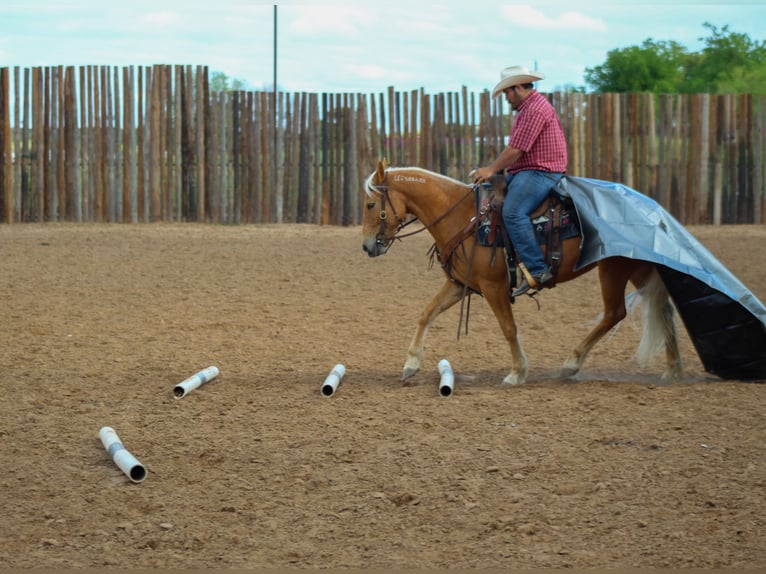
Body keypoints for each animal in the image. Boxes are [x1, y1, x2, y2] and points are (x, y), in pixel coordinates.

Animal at [360, 160, 684, 390]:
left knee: (616, 312)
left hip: (615, 267)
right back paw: (671, 369)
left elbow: (508, 328)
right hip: (638, 267)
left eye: (371, 204)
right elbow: (426, 313)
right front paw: (411, 363)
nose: (366, 246)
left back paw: (572, 362)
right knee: (662, 309)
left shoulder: (493, 287)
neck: (465, 218)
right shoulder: (459, 284)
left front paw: (517, 372)